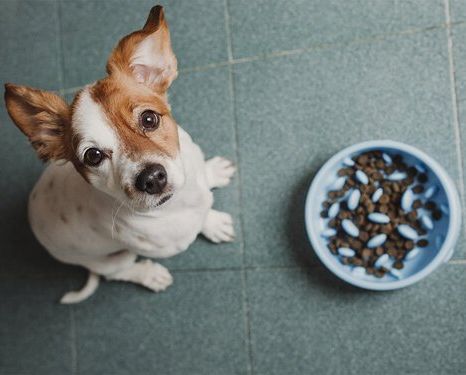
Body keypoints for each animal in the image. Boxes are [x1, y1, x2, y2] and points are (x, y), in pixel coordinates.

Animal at [2, 5, 237, 304]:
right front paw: (213, 224)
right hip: (113, 258)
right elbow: (199, 221)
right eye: (93, 156)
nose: (152, 179)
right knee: (116, 273)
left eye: (149, 119)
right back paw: (149, 275)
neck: (177, 202)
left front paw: (212, 176)